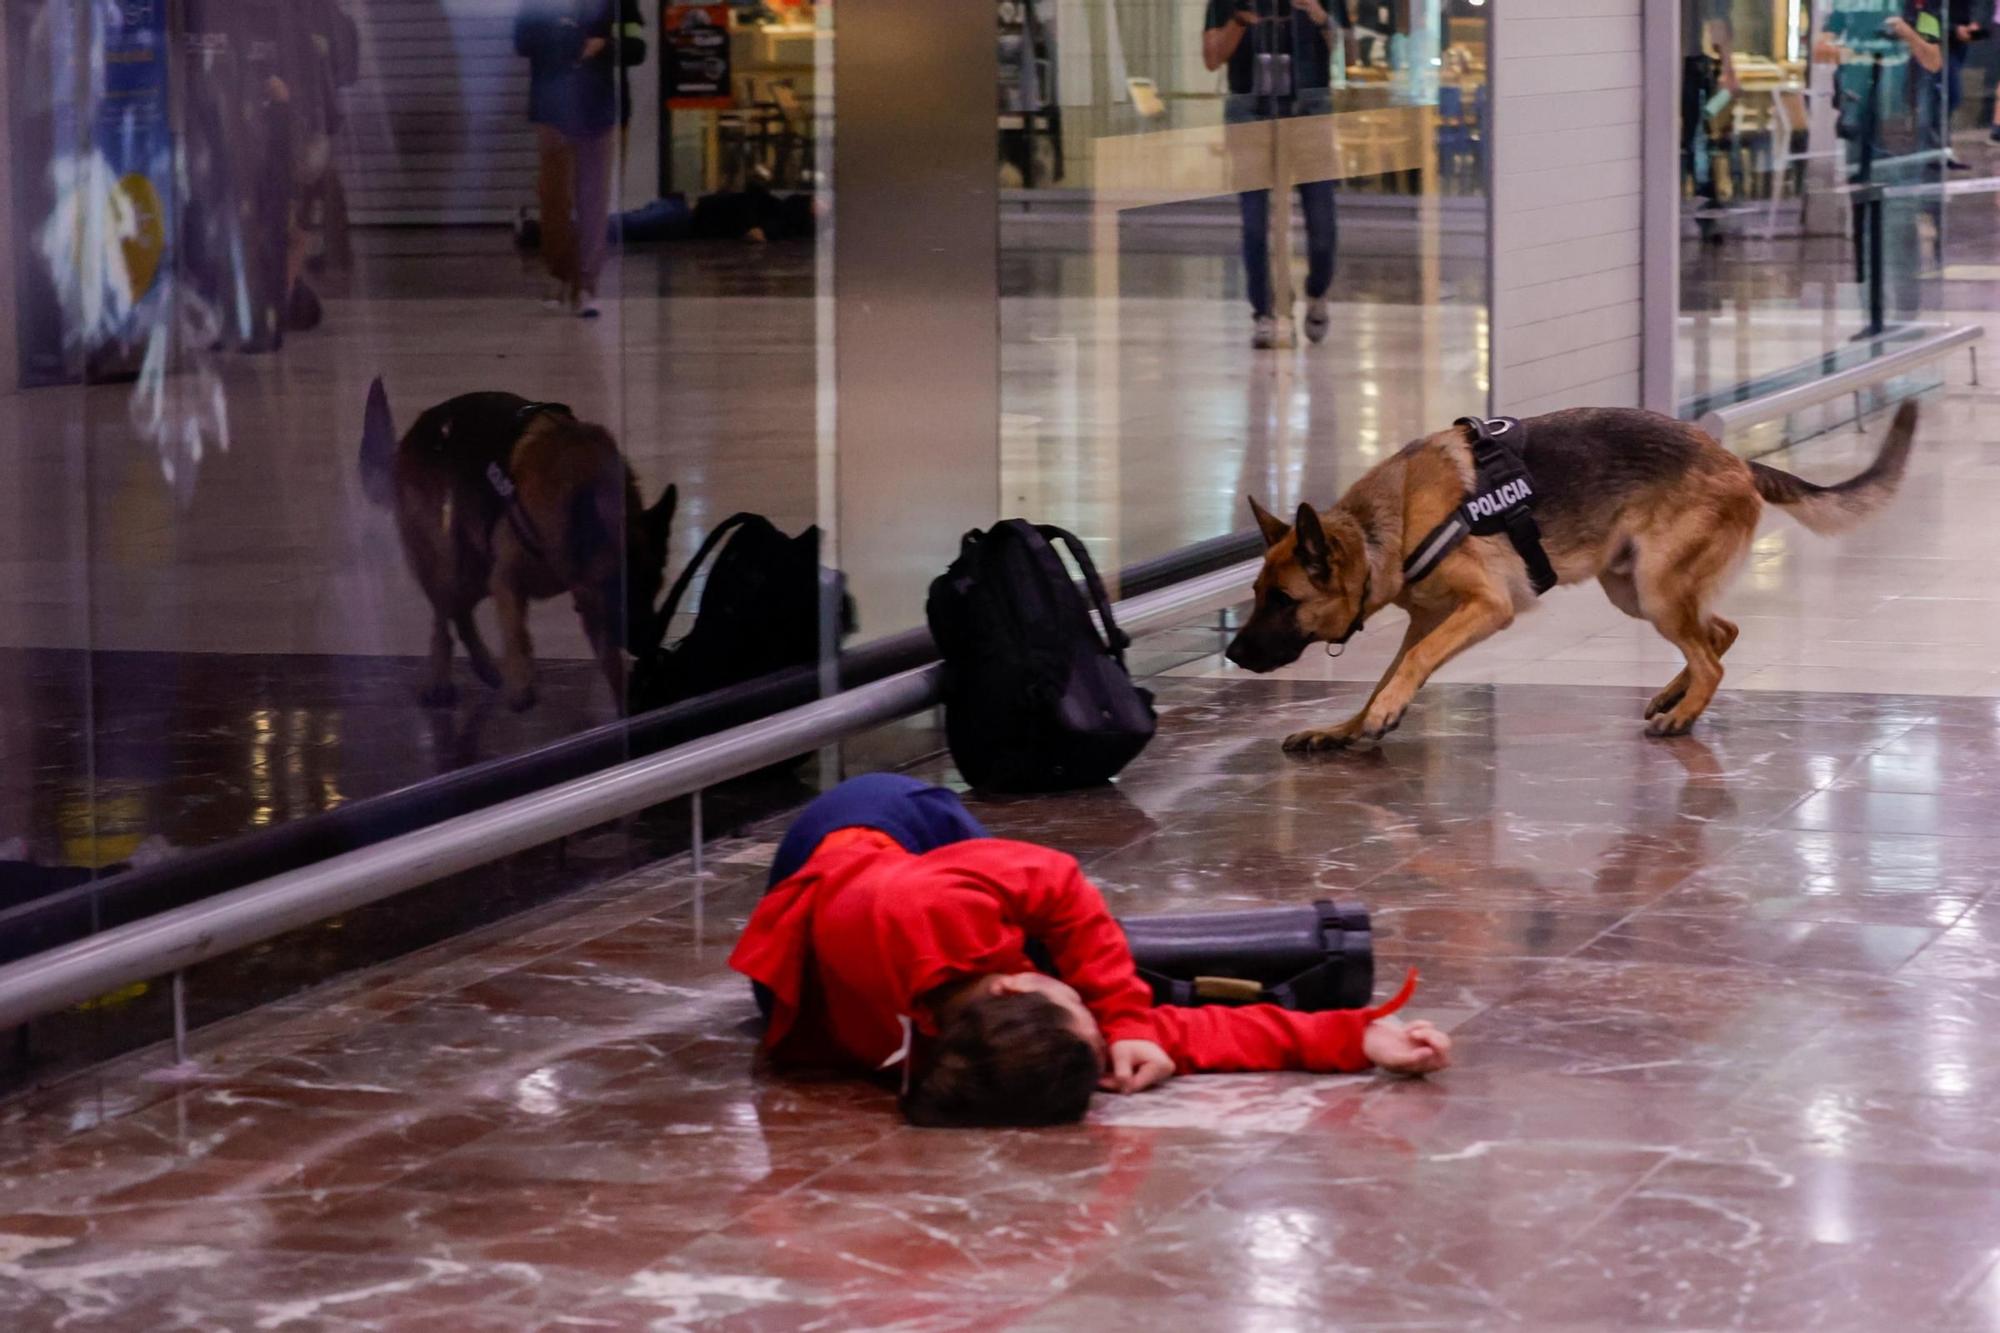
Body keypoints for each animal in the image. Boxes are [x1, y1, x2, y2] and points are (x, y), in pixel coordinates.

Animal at [356, 378, 676, 712]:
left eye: (655, 586)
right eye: (617, 587)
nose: (648, 647)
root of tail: (410, 439)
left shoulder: (589, 603)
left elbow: (611, 665)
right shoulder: (509, 580)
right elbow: (516, 632)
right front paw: (522, 683)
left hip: (476, 573)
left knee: (461, 611)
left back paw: (485, 667)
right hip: (450, 566)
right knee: (443, 621)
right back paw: (440, 681)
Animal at [1224, 400, 1912, 748]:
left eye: (1282, 600)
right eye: (1255, 595)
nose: (1231, 654)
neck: (1385, 527)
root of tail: (1736, 460)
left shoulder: (1486, 608)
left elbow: (1411, 665)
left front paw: (1385, 712)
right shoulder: (1427, 618)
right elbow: (1388, 673)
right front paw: (1346, 727)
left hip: (1655, 590)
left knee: (1712, 655)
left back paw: (1683, 714)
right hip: (1632, 589)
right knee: (1720, 633)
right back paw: (1675, 694)